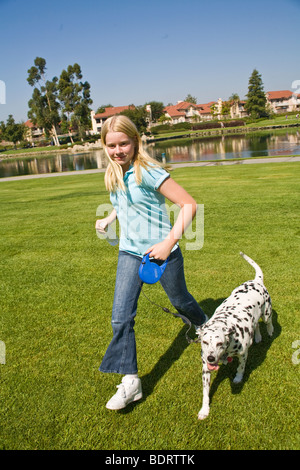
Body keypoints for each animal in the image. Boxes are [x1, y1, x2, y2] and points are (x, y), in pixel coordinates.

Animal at [198, 252, 274, 420]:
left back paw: (271, 331)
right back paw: (257, 337)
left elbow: (240, 367)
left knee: (268, 322)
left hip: (266, 313)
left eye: (220, 343)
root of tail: (256, 280)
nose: (211, 358)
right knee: (256, 325)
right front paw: (204, 410)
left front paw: (238, 378)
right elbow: (205, 392)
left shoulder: (243, 353)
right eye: (204, 342)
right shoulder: (205, 369)